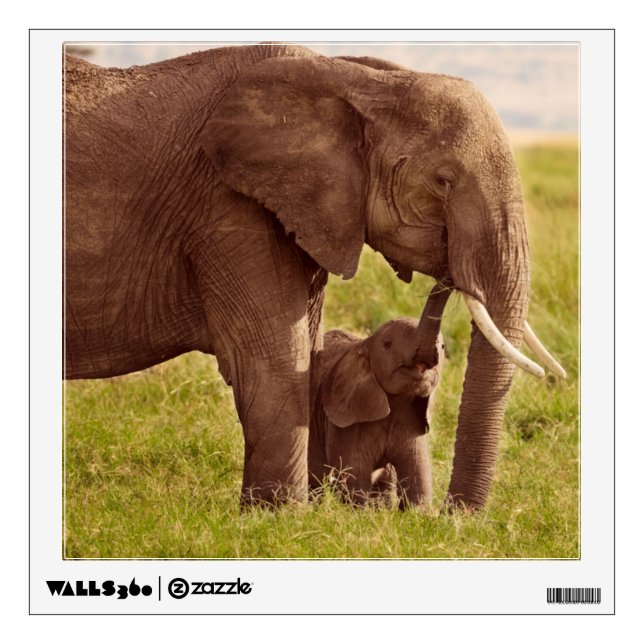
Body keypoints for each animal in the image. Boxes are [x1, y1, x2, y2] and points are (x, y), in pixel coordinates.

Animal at [308, 319, 446, 509]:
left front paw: (418, 513)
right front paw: (359, 512)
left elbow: (418, 477)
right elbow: (355, 477)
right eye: (387, 344)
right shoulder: (345, 423)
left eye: (443, 347)